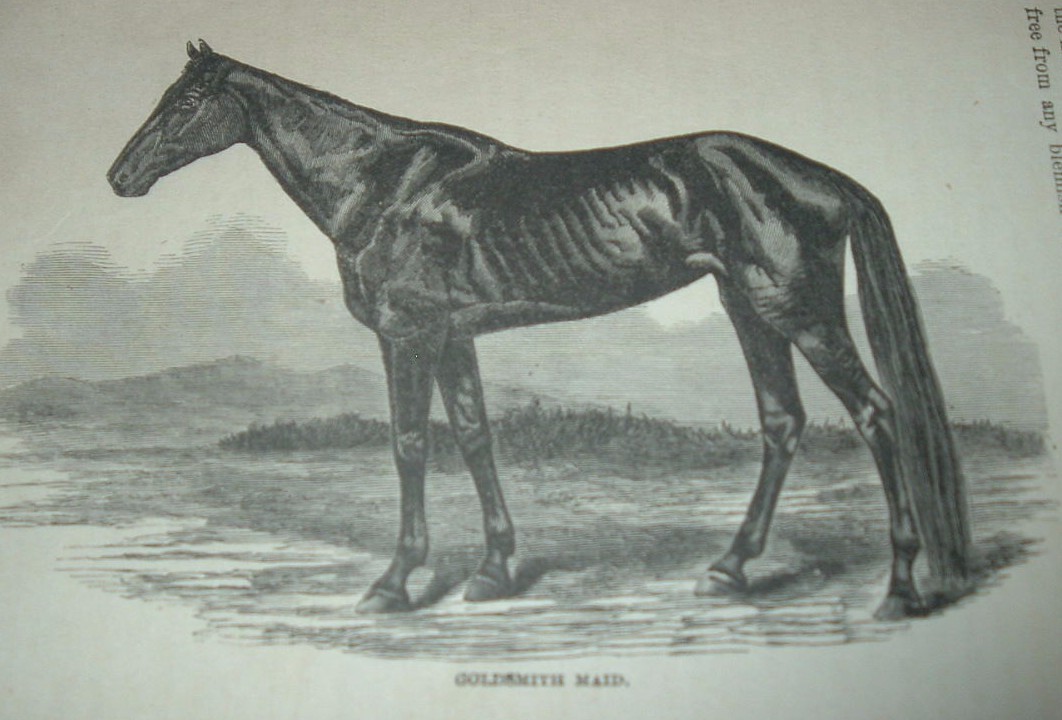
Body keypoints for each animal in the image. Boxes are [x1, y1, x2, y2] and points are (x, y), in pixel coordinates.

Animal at [108, 41, 970, 619]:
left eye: (185, 104)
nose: (119, 176)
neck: (384, 184)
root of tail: (824, 179)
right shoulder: (453, 336)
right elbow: (474, 437)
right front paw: (493, 571)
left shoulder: (408, 333)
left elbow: (410, 446)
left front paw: (394, 583)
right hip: (748, 309)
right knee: (782, 423)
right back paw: (728, 569)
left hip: (798, 310)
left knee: (876, 415)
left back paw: (899, 588)